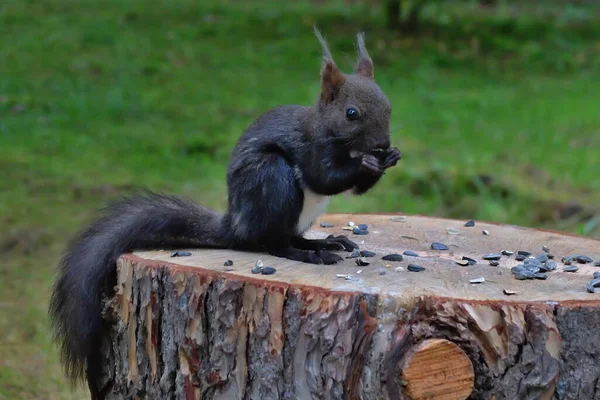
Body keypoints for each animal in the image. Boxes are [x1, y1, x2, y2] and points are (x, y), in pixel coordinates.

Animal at [49, 27, 400, 396]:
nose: (382, 144)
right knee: (275, 244)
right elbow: (324, 177)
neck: (338, 139)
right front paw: (368, 164)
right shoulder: (311, 147)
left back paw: (324, 242)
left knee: (288, 237)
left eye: (389, 106)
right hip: (271, 179)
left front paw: (388, 158)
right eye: (351, 113)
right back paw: (309, 254)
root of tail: (236, 225)